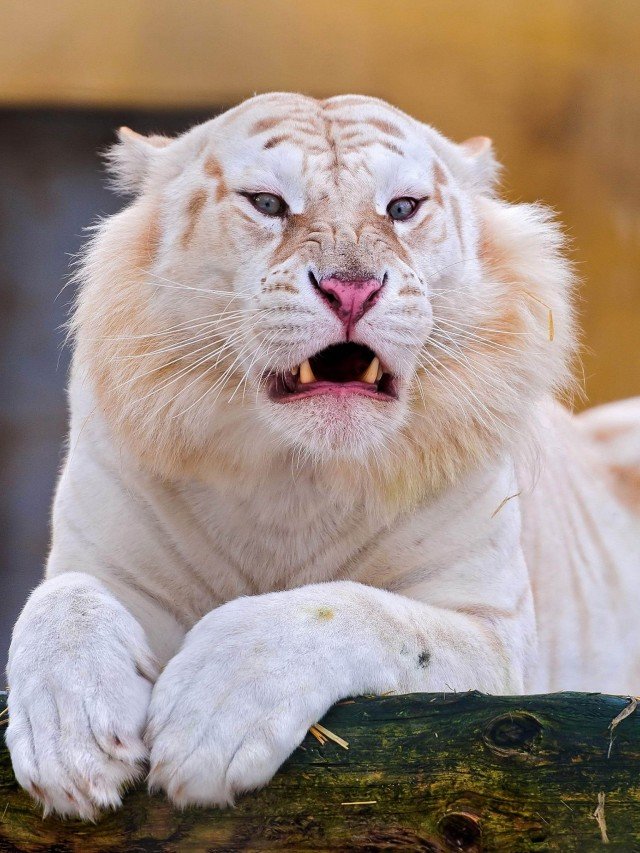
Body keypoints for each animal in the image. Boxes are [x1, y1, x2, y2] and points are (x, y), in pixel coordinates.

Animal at [6, 92, 640, 820]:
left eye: (402, 207)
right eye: (267, 202)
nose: (352, 289)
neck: (294, 474)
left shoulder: (496, 642)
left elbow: (355, 610)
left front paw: (208, 720)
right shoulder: (104, 561)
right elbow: (60, 600)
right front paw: (70, 742)